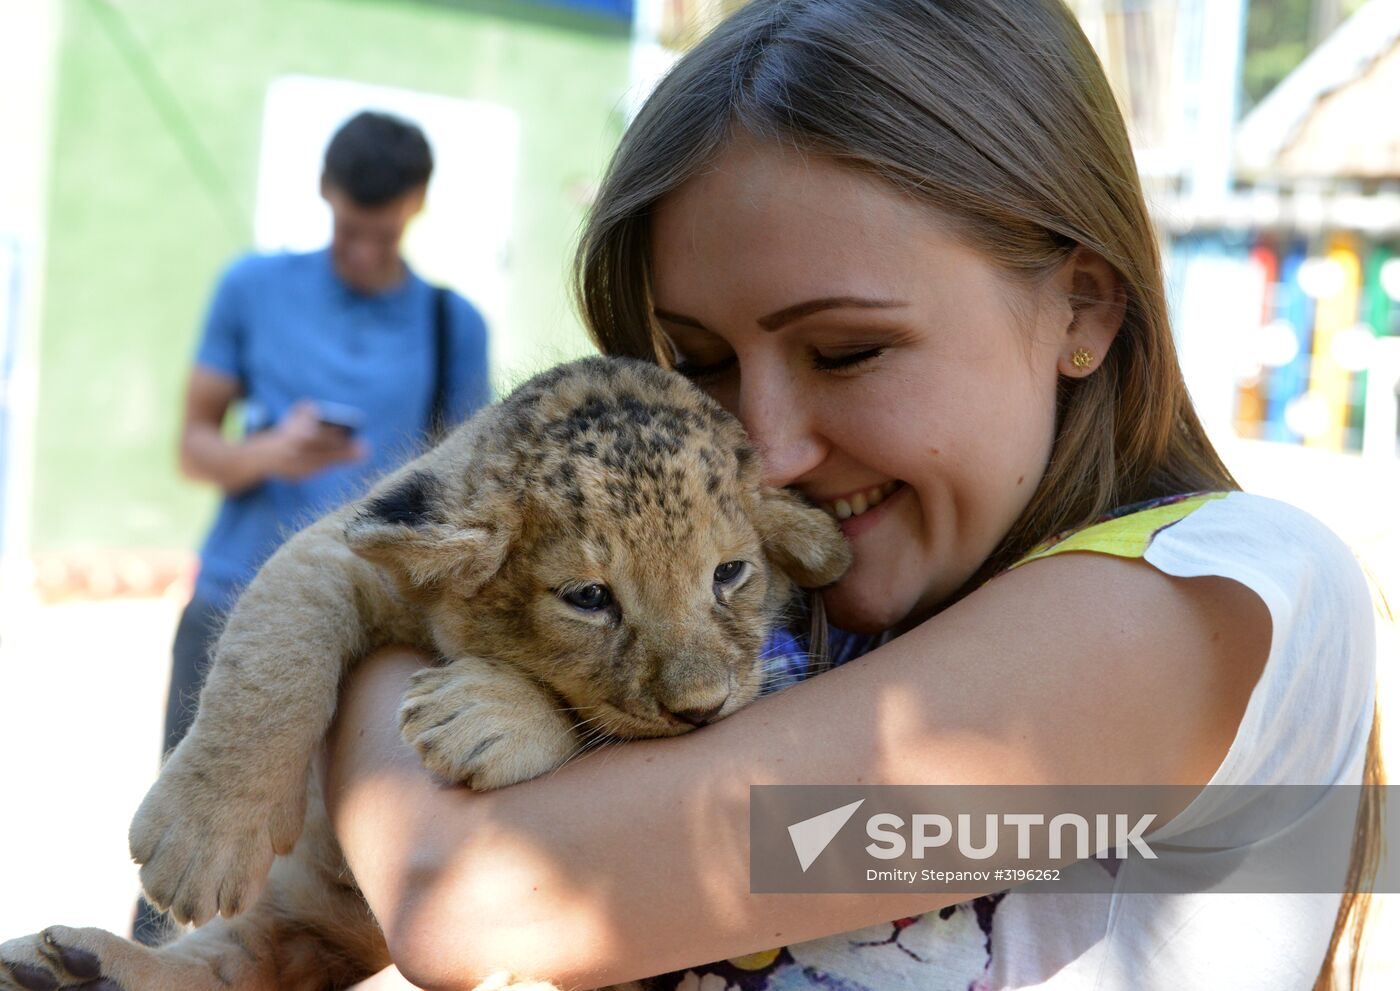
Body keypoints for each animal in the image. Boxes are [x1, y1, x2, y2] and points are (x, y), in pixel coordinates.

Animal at [0, 357, 851, 991]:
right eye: (589, 597)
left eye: (731, 573)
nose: (702, 708)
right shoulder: (340, 548)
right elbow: (268, 658)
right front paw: (200, 840)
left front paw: (482, 714)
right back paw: (77, 966)